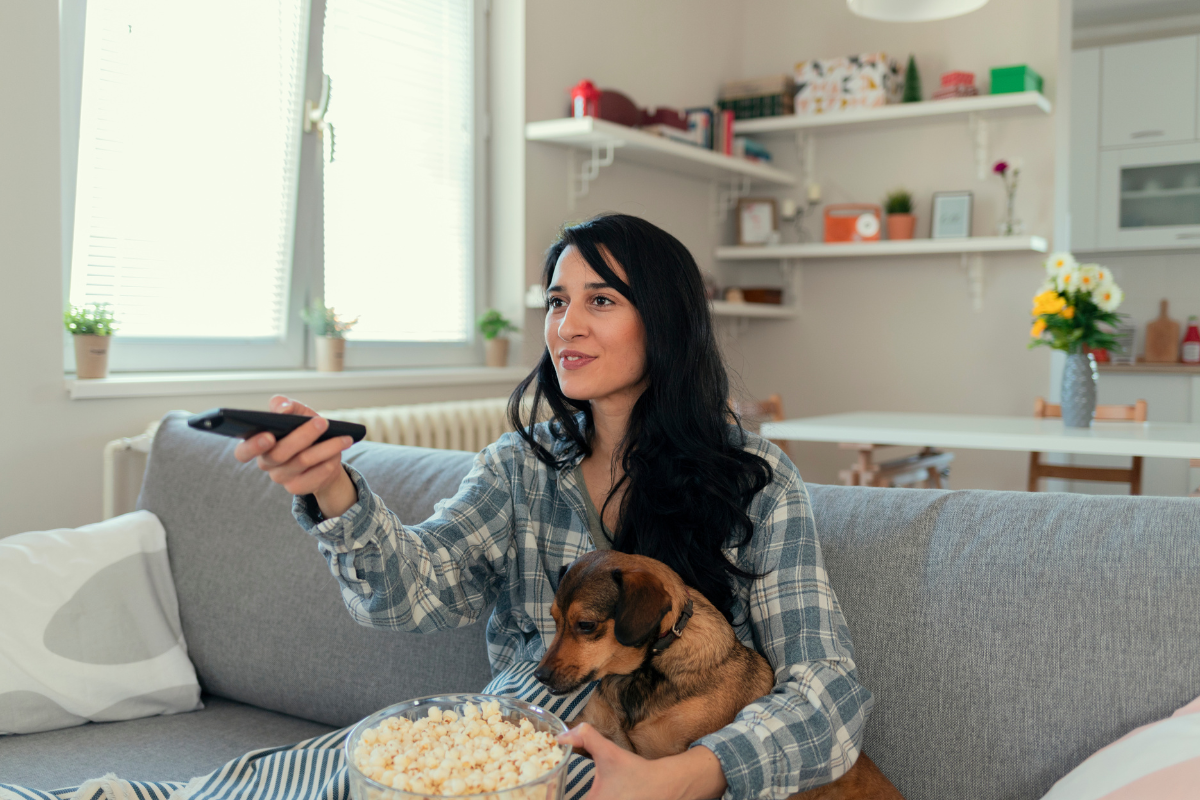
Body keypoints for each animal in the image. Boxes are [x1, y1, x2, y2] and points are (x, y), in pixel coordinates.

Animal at [537, 554, 902, 796]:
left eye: (586, 625)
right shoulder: (591, 727)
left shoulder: (662, 758)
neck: (644, 671)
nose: (540, 676)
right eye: (553, 619)